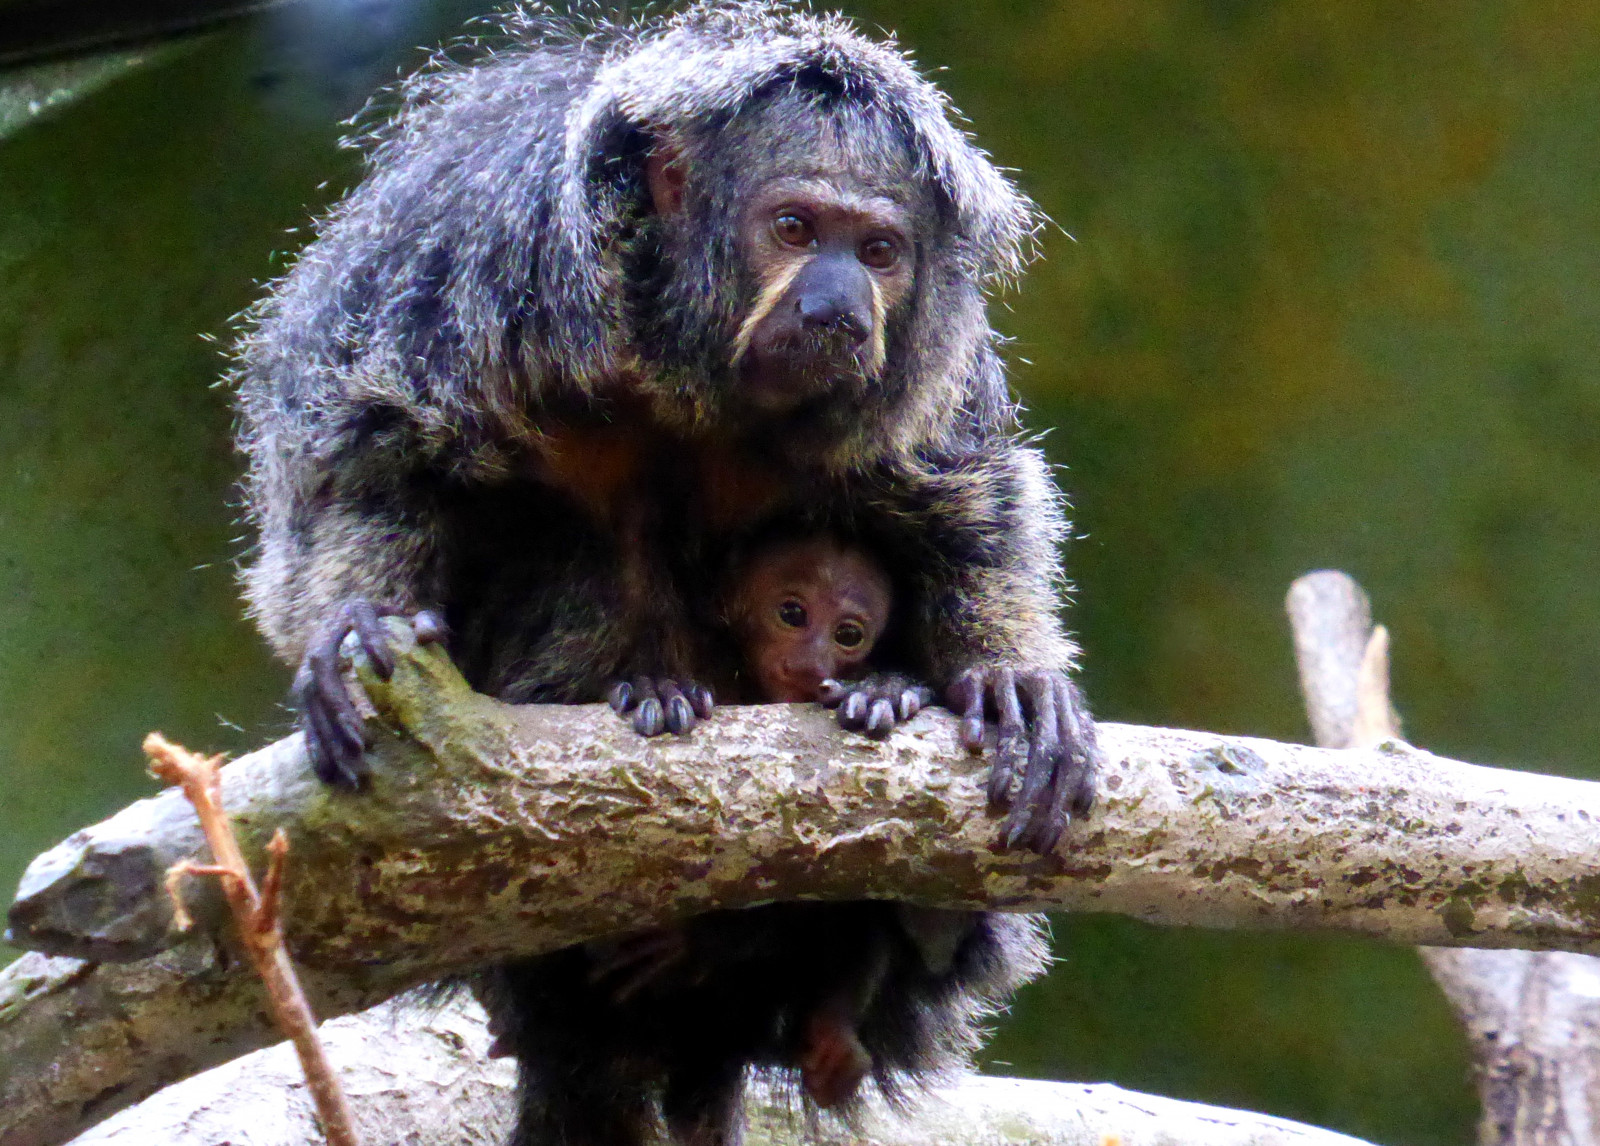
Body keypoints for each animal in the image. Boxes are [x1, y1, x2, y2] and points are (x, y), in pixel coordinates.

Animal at [233, 5, 1096, 1144]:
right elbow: (373, 460)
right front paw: (355, 628)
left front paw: (1007, 675)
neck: (680, 360)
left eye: (878, 251)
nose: (837, 305)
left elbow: (966, 503)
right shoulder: (477, 251)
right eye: (793, 229)